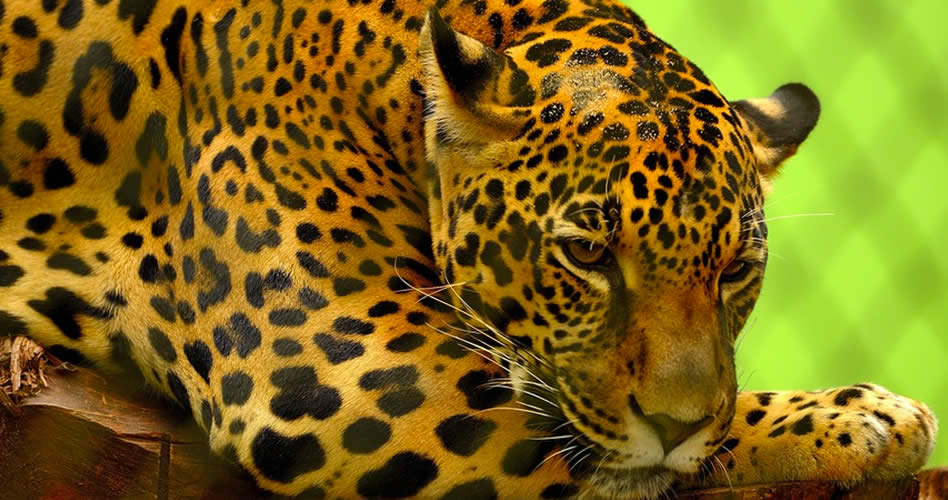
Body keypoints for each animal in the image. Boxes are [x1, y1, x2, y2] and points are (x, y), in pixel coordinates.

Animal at [0, 0, 937, 498]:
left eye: (735, 270)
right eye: (587, 254)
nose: (674, 422)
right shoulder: (344, 375)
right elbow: (619, 449)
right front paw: (856, 415)